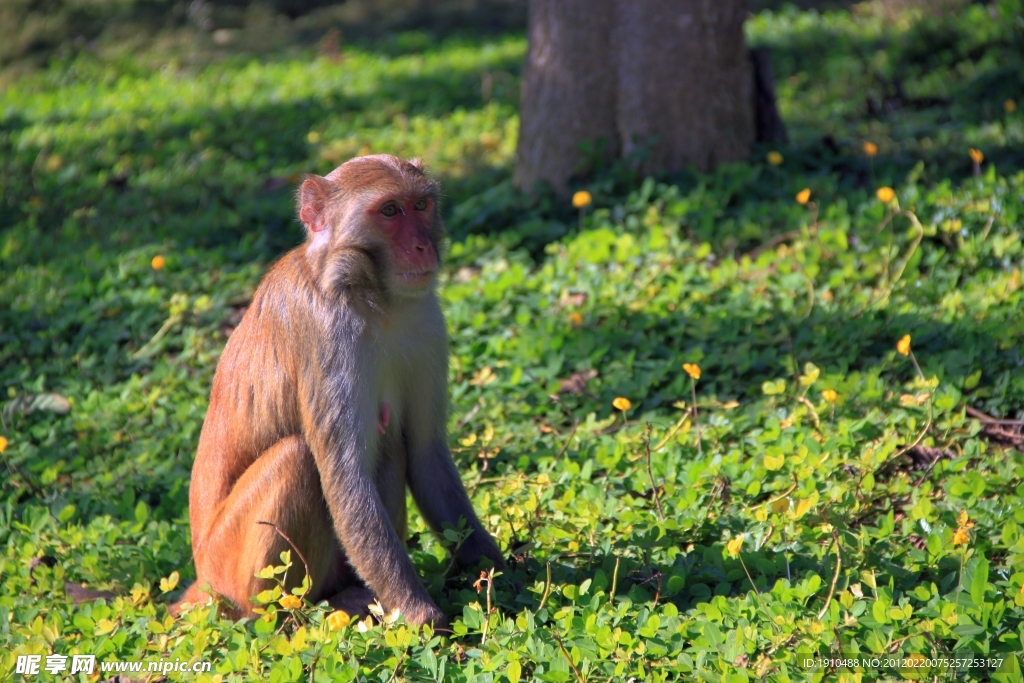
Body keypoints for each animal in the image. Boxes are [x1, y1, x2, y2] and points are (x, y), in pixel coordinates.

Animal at [180, 153, 507, 626]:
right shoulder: (326, 332)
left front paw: (499, 572)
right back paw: (291, 616)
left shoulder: (428, 321)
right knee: (297, 458)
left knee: (391, 444)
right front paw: (422, 616)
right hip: (229, 567)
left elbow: (426, 453)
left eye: (421, 205)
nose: (423, 247)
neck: (374, 297)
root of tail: (203, 577)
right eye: (389, 211)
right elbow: (345, 478)